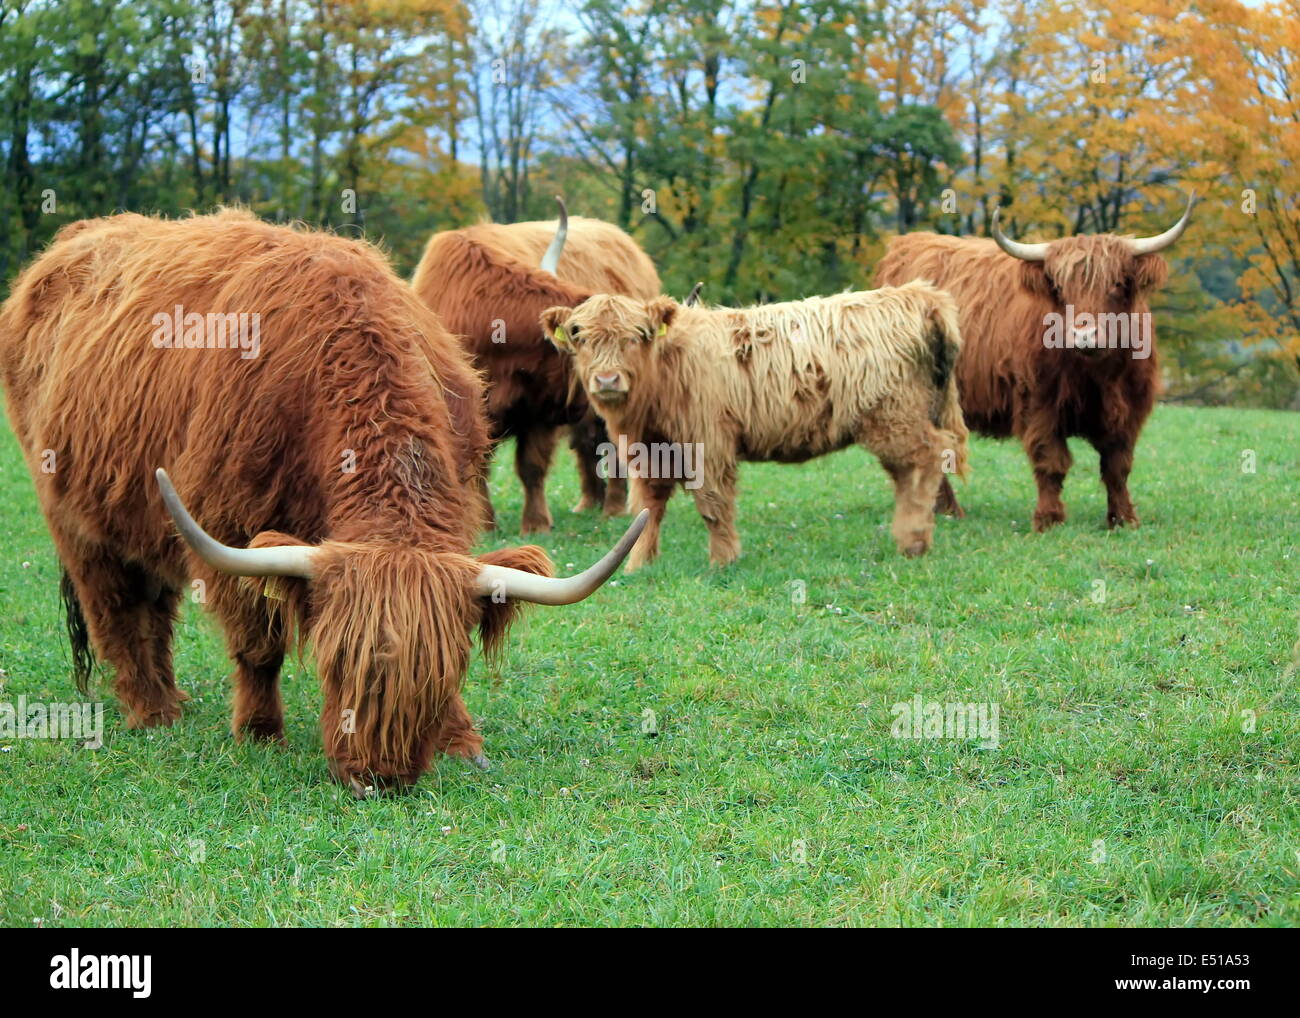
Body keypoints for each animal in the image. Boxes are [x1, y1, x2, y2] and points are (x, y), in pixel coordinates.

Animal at [411, 199, 661, 533]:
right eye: (585, 342)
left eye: (634, 342)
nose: (612, 380)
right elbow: (480, 465)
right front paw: (486, 522)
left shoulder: (538, 409)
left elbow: (532, 466)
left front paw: (536, 523)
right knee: (588, 444)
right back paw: (589, 504)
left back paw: (613, 508)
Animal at [541, 281, 970, 569]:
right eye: (580, 337)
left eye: (637, 336)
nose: (607, 379)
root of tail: (916, 294)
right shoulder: (651, 452)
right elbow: (648, 509)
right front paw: (638, 564)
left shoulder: (709, 446)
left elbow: (713, 505)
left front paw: (723, 561)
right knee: (907, 474)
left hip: (894, 418)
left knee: (928, 457)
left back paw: (913, 541)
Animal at [875, 194, 1193, 531]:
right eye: (1060, 288)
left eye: (1118, 283)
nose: (1085, 335)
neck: (1096, 375)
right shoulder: (1039, 405)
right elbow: (1051, 461)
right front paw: (1048, 519)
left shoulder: (1129, 411)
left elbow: (1117, 467)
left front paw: (1123, 519)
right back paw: (945, 509)